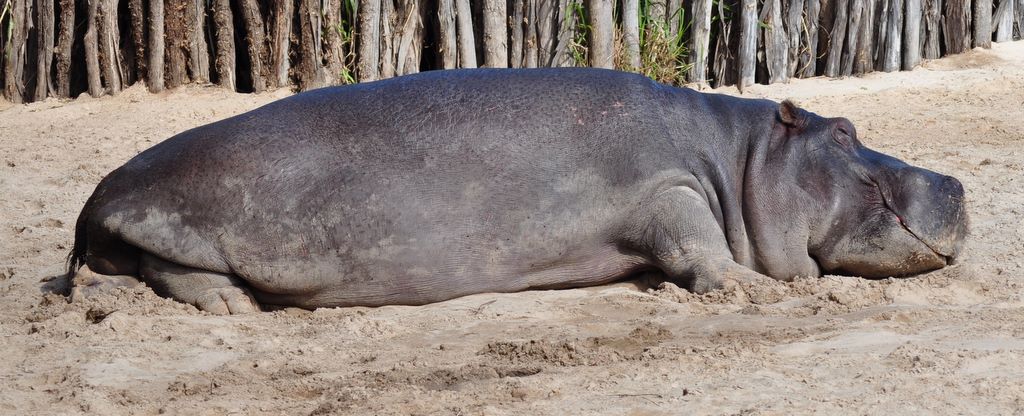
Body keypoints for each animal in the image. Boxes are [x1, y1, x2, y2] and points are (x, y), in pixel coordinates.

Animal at [66, 68, 967, 314]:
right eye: (844, 130)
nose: (957, 178)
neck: (739, 157)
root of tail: (95, 193)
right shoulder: (669, 187)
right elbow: (697, 239)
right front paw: (754, 287)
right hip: (168, 219)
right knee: (168, 268)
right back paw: (233, 307)